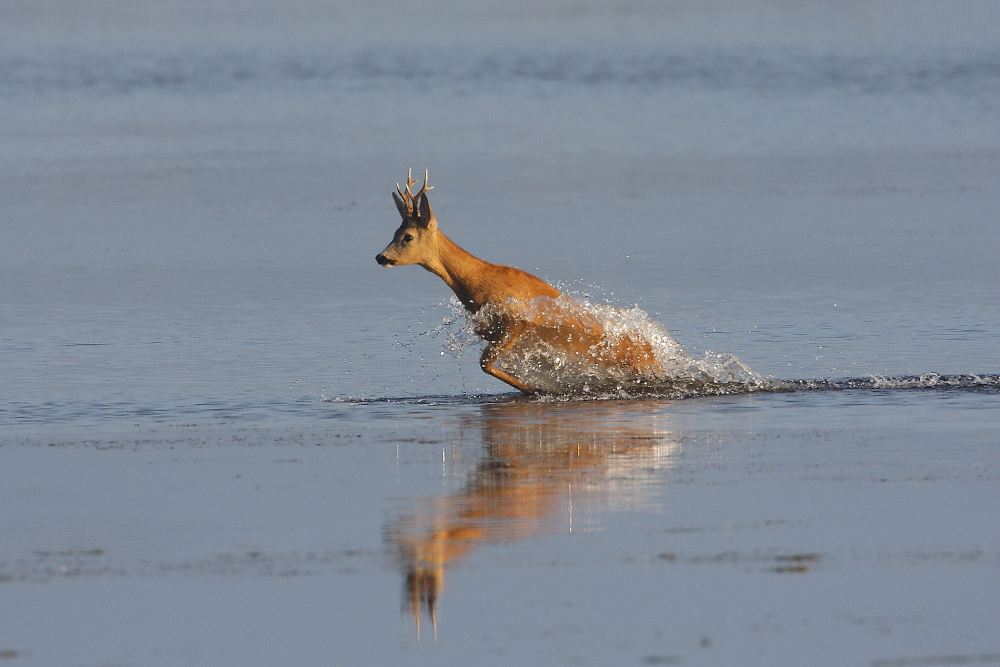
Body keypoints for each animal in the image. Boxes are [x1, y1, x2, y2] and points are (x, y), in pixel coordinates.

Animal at [376, 170, 672, 394]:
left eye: (408, 237)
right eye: (395, 231)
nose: (381, 257)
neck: (476, 285)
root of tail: (651, 351)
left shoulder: (515, 323)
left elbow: (485, 363)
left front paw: (535, 388)